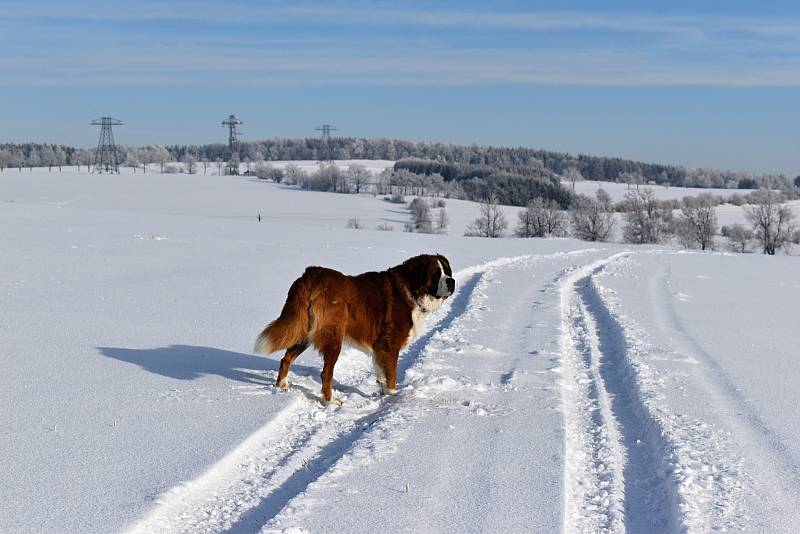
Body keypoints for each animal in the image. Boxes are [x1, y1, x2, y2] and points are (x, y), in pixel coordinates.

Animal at [256, 258, 456, 404]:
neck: (411, 288)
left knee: (286, 359)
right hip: (333, 338)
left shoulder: (380, 348)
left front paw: (383, 395)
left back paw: (281, 386)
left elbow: (382, 375)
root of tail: (311, 274)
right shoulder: (390, 345)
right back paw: (330, 402)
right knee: (325, 373)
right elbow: (392, 375)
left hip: (304, 332)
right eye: (436, 274)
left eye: (448, 271)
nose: (452, 281)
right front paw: (392, 398)